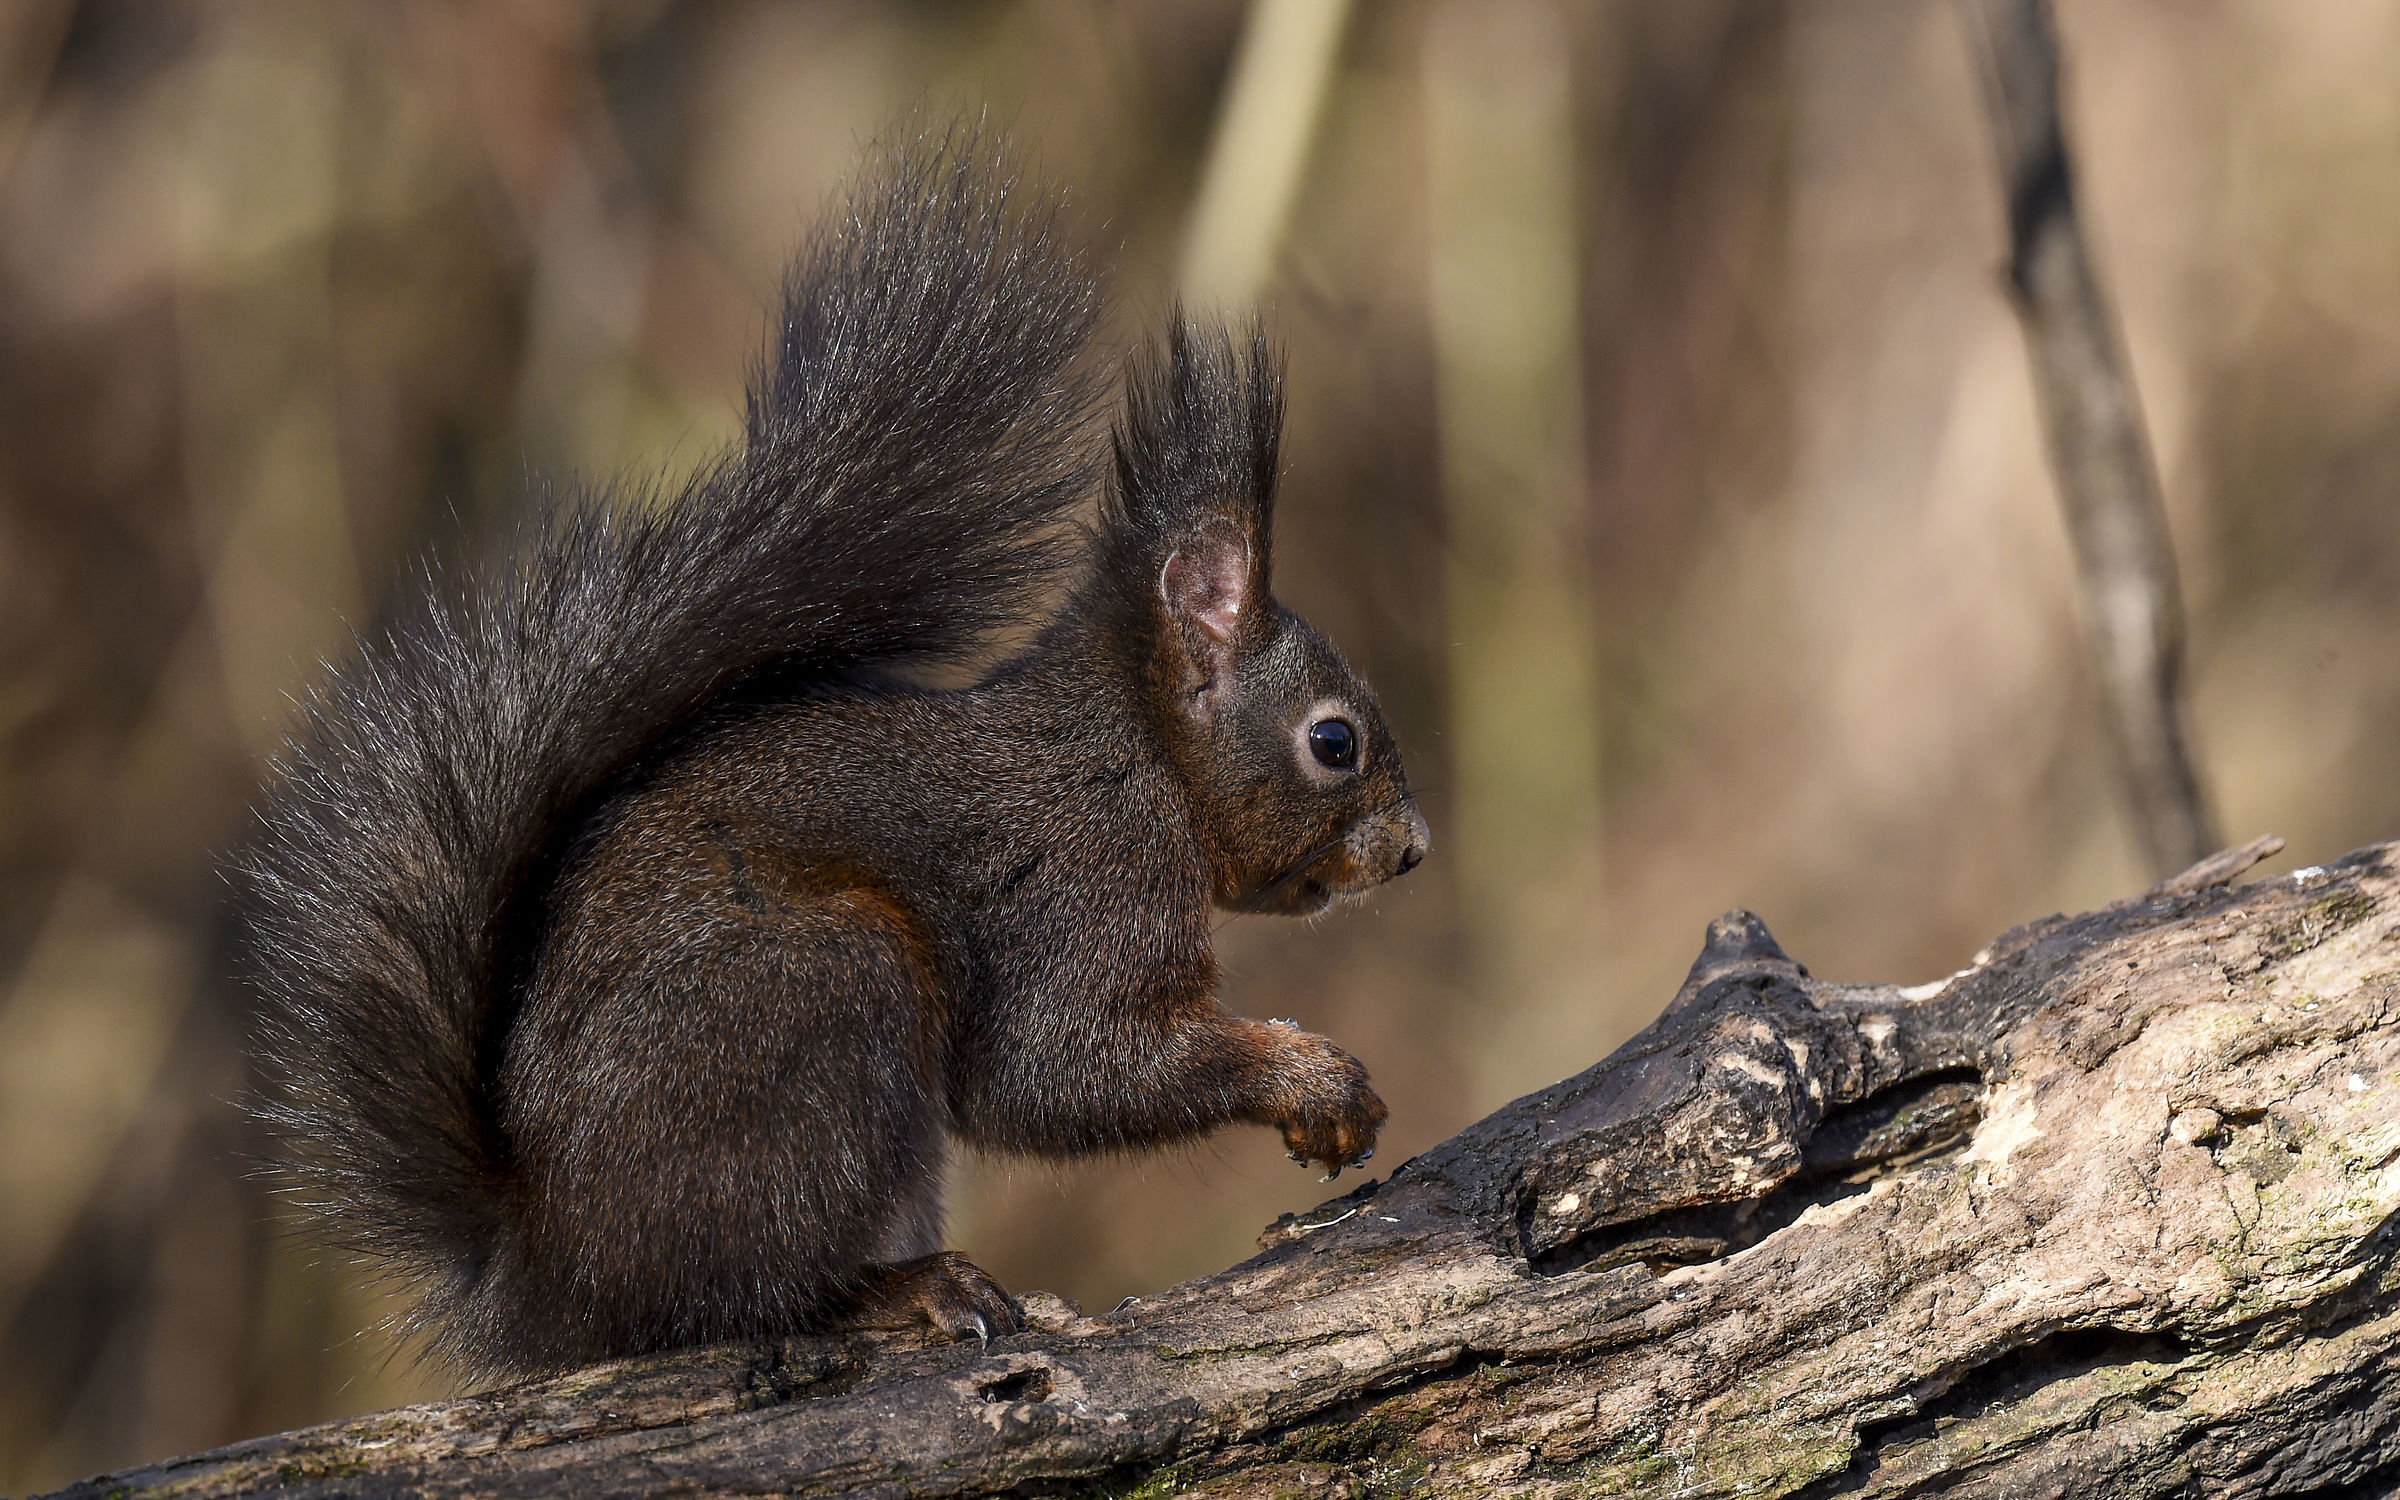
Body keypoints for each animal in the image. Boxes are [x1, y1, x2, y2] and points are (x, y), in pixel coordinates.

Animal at [240, 137, 1429, 1379]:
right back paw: (898, 1291)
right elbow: (1062, 1069)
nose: (1414, 850)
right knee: (743, 1295)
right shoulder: (1087, 884)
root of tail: (551, 1271)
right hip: (817, 1002)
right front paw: (1310, 1075)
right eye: (1333, 742)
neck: (1139, 750)